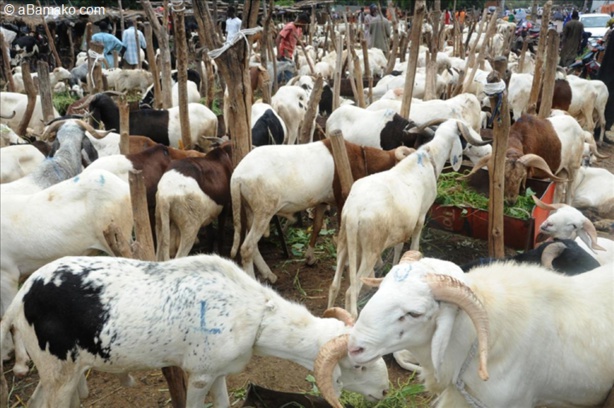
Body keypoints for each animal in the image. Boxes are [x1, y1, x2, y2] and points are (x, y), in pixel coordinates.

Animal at [1, 253, 390, 406]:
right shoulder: (200, 375)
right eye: (358, 365)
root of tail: (19, 299)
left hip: (57, 370)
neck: (256, 315)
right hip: (58, 369)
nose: (385, 392)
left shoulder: (218, 372)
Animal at [332, 119, 490, 318]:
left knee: (334, 285)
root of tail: (354, 212)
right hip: (370, 250)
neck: (429, 157)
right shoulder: (420, 217)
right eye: (465, 133)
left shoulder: (403, 226)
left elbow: (399, 248)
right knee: (350, 291)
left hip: (344, 241)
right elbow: (414, 246)